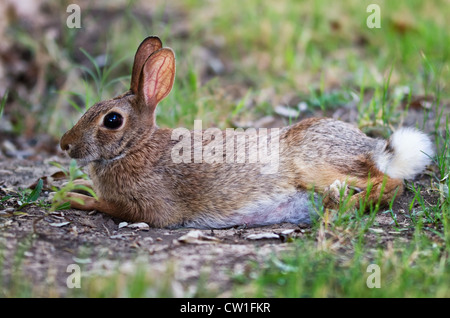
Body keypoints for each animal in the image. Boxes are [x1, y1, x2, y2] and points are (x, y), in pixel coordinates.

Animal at [58, 36, 434, 229]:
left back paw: (340, 209)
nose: (65, 145)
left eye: (112, 121)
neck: (136, 146)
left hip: (314, 165)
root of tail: (375, 149)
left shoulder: (153, 208)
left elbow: (108, 206)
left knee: (391, 184)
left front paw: (70, 197)